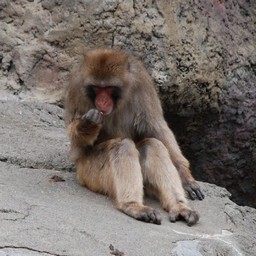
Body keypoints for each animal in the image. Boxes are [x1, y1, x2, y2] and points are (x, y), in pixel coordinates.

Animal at [65, 48, 204, 226]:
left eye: (108, 88)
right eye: (97, 88)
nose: (102, 101)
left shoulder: (142, 81)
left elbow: (156, 129)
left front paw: (185, 176)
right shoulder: (76, 86)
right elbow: (77, 144)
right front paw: (87, 124)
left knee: (153, 145)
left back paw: (179, 207)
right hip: (89, 174)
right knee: (122, 146)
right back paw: (132, 206)